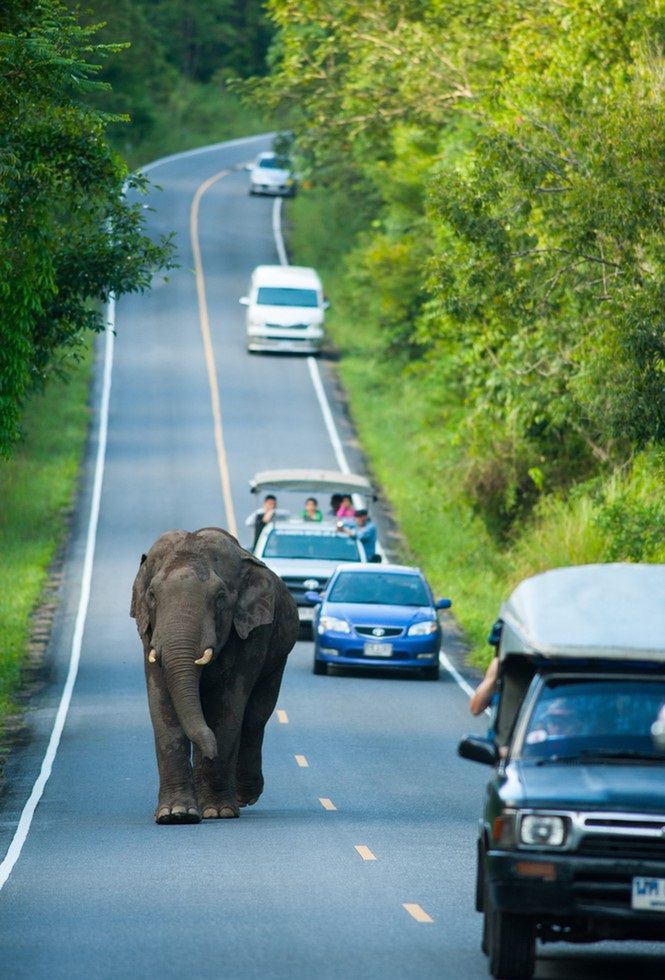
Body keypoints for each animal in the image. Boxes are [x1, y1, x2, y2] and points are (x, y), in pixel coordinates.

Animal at [130, 524, 298, 824]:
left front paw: (218, 812)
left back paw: (242, 796)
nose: (211, 751)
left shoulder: (250, 634)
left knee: (255, 717)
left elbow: (227, 708)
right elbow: (162, 706)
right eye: (151, 594)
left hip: (278, 656)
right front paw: (176, 815)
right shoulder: (149, 634)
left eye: (220, 597)